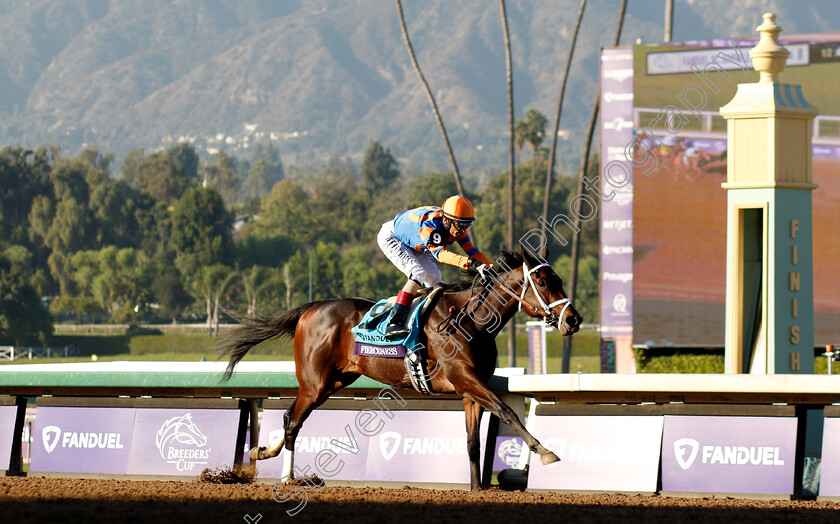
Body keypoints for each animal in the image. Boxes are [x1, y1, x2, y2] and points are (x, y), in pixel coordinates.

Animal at [220, 248, 580, 490]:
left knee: (288, 417)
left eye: (560, 279)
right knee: (293, 420)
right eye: (543, 281)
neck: (470, 321)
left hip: (335, 381)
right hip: (314, 382)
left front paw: (477, 488)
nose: (574, 320)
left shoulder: (469, 391)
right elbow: (508, 411)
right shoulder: (467, 379)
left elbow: (472, 441)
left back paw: (262, 451)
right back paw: (288, 477)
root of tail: (311, 308)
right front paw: (546, 452)